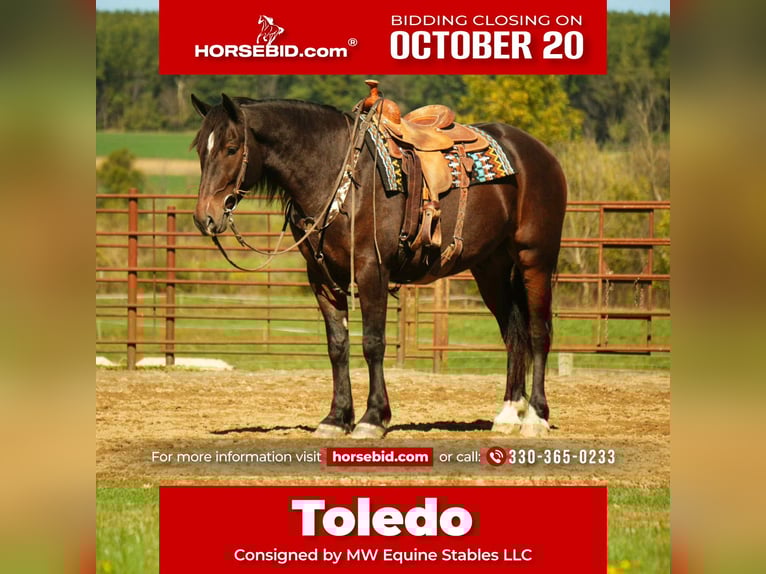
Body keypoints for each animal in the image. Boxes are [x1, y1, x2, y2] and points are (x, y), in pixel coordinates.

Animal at [189, 90, 567, 439]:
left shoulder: (372, 272)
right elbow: (337, 346)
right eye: (199, 150)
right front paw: (336, 418)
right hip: (490, 268)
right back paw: (508, 415)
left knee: (538, 333)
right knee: (514, 335)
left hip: (535, 260)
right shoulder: (322, 279)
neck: (337, 174)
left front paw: (373, 418)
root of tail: (540, 153)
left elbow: (373, 343)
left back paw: (536, 417)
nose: (205, 217)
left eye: (231, 147)